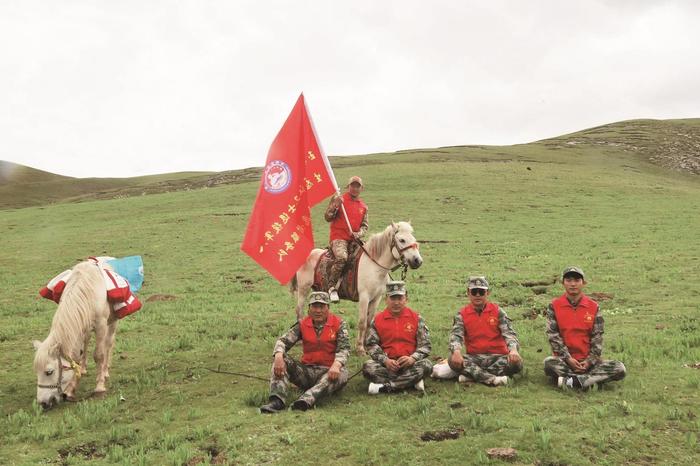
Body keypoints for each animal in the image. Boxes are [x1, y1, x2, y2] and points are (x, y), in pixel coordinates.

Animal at [33, 260, 118, 410]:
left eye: (49, 372)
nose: (43, 403)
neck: (87, 292)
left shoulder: (101, 326)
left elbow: (99, 355)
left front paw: (99, 387)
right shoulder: (78, 326)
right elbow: (76, 358)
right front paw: (70, 390)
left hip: (112, 322)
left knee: (109, 343)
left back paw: (105, 371)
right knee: (86, 343)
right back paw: (83, 369)